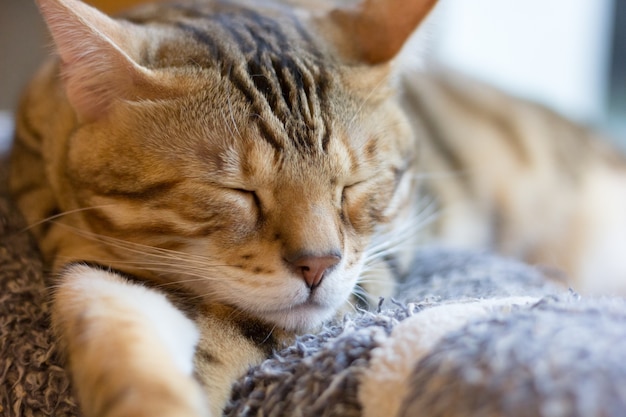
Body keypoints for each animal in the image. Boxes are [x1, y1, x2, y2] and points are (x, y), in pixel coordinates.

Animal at [8, 0, 624, 414]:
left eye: (352, 186)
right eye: (238, 192)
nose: (317, 266)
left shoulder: (370, 269)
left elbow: (232, 332)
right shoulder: (88, 260)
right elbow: (111, 330)